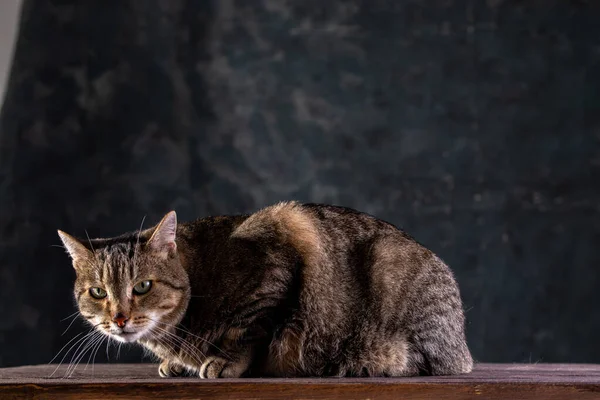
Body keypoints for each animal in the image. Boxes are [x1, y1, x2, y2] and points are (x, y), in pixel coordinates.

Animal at [59, 203, 474, 378]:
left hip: (390, 269)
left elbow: (247, 330)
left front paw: (225, 361)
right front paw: (178, 363)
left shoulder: (277, 255)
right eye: (98, 292)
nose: (119, 318)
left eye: (143, 286)